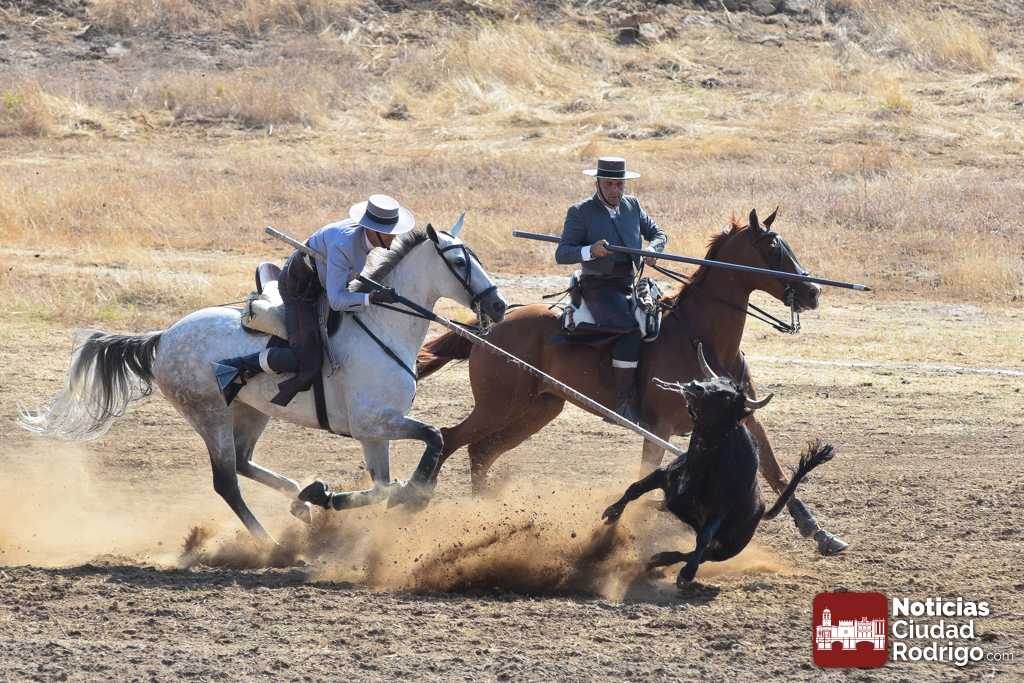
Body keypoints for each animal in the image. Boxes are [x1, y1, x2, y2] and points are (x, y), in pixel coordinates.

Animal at [20, 221, 508, 542]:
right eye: (460, 259)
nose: (499, 305)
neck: (383, 326)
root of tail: (162, 337)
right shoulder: (375, 422)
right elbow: (434, 438)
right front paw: (415, 495)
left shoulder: (374, 433)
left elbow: (383, 486)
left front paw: (329, 495)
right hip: (208, 414)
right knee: (226, 481)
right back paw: (269, 542)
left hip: (252, 411)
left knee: (242, 462)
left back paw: (300, 499)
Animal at [416, 208, 847, 556]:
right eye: (772, 249)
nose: (813, 292)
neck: (702, 338)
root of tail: (488, 327)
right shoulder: (659, 427)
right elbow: (644, 476)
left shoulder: (746, 417)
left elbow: (775, 470)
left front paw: (820, 533)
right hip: (497, 406)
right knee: (451, 438)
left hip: (537, 410)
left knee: (481, 452)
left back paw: (484, 516)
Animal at [601, 344, 835, 587]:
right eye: (712, 380)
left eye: (726, 395)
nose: (694, 386)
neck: (703, 463)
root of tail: (761, 510)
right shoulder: (663, 476)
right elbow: (634, 489)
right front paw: (612, 513)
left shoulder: (719, 512)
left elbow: (703, 539)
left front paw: (686, 573)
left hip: (729, 547)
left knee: (701, 553)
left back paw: (663, 560)